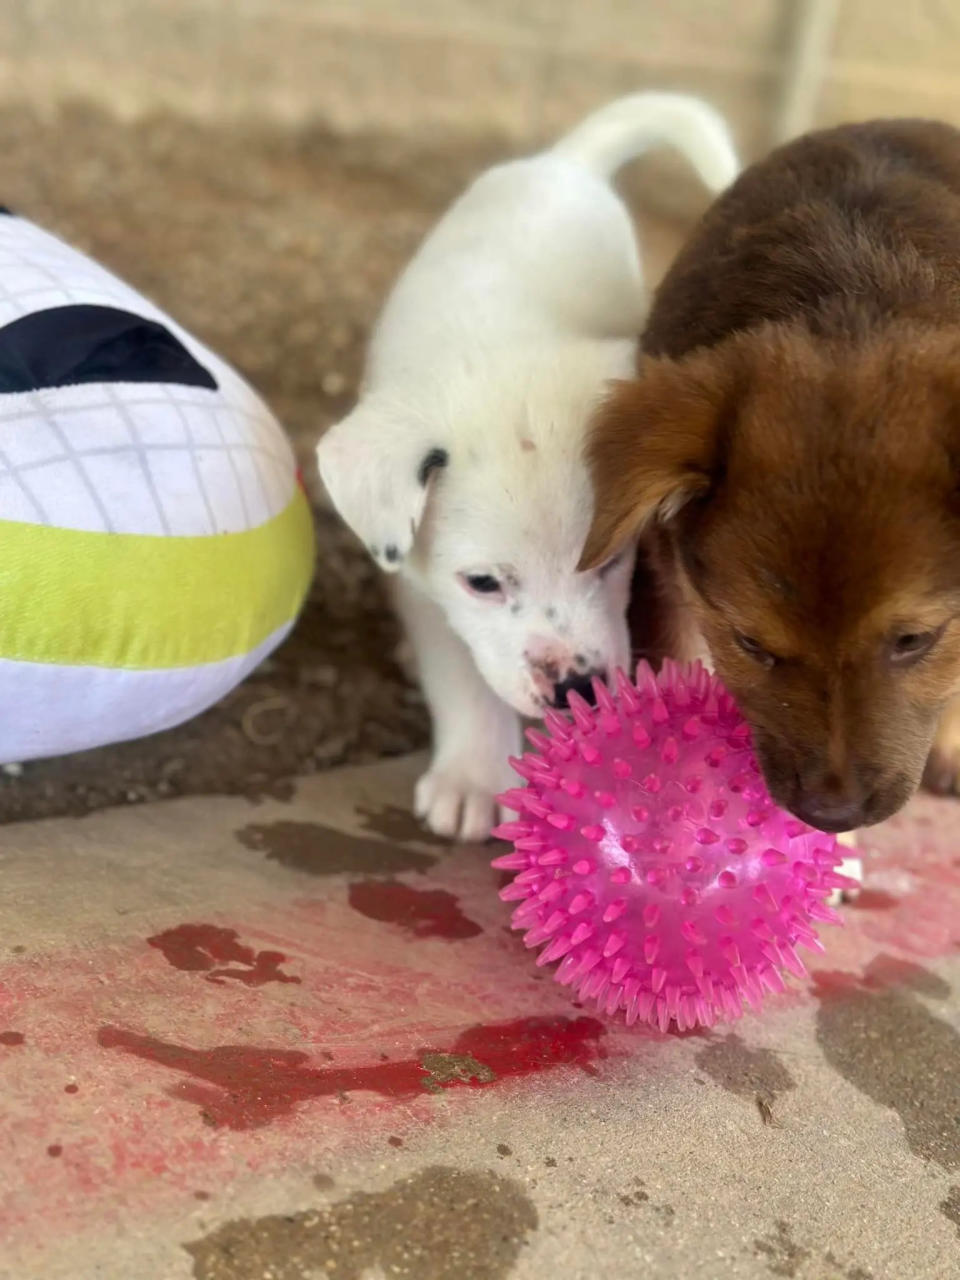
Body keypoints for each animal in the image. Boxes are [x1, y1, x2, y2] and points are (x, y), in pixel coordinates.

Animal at [320, 94, 742, 844]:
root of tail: (564, 162)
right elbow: (461, 674)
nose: (577, 690)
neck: (499, 351)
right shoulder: (425, 587)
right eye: (484, 583)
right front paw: (474, 777)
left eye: (613, 560)